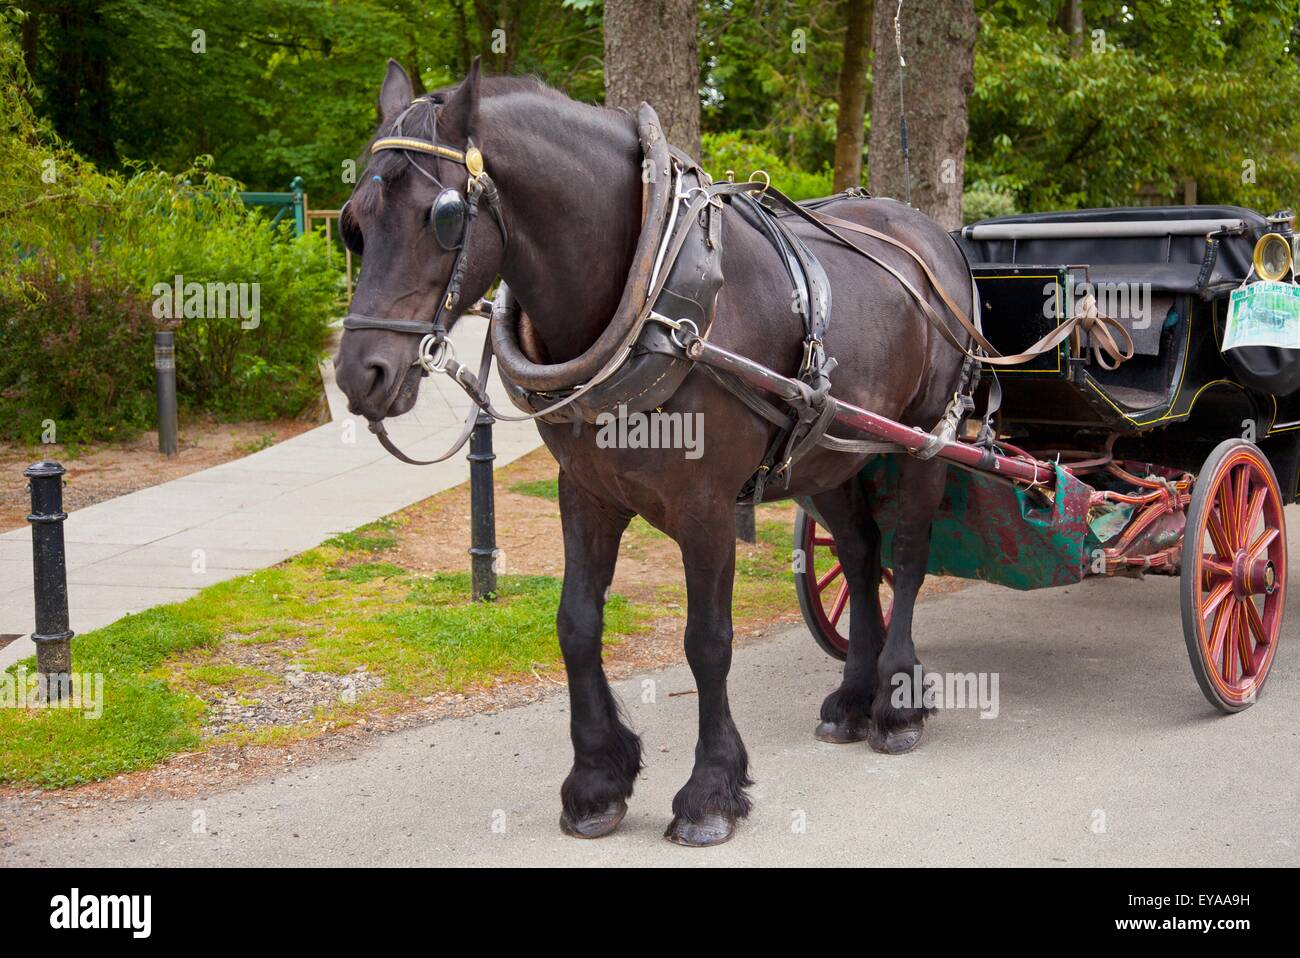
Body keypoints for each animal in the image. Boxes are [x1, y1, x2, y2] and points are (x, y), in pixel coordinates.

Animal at [335, 61, 977, 842]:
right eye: (355, 224)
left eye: (444, 216)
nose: (359, 375)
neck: (653, 295)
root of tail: (932, 233)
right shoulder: (585, 489)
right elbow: (576, 625)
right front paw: (596, 782)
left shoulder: (707, 506)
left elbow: (707, 641)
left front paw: (710, 791)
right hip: (828, 448)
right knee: (857, 556)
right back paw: (853, 697)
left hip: (925, 441)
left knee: (907, 557)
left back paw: (896, 703)